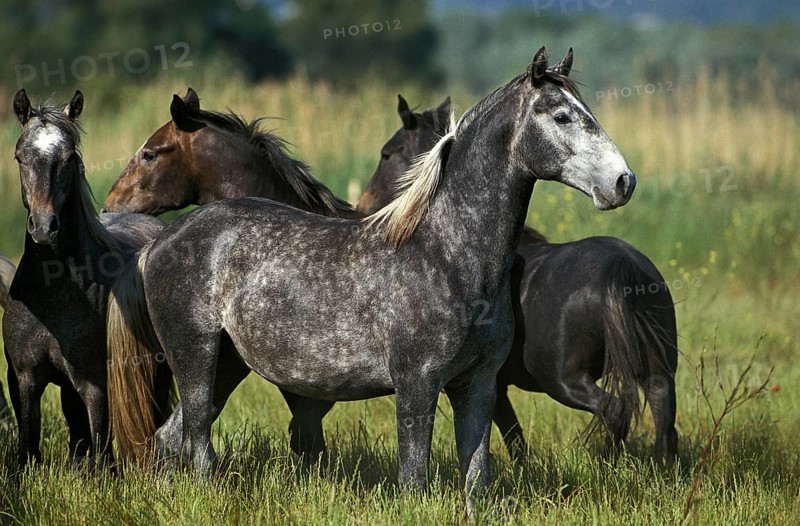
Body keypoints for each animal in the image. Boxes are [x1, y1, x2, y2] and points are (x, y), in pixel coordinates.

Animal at [3, 89, 170, 467]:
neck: (54, 293)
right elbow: (28, 448)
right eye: (21, 157)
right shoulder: (23, 380)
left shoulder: (95, 384)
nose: (44, 226)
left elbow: (102, 456)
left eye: (67, 158)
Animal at [106, 46, 636, 507]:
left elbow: (477, 480)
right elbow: (413, 479)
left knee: (169, 438)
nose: (622, 182)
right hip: (195, 357)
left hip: (227, 365)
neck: (447, 254)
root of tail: (160, 242)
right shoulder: (417, 384)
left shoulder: (479, 385)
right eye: (561, 116)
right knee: (196, 443)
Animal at [358, 98, 679, 461]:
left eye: (387, 153)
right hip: (659, 371)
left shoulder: (488, 382)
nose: (363, 205)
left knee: (614, 411)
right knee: (664, 422)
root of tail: (621, 270)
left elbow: (510, 435)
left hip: (566, 382)